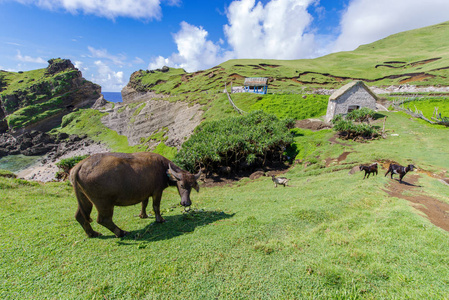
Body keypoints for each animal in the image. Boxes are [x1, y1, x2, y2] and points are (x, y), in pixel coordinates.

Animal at [69, 154, 200, 238]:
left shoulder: (145, 192)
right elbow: (156, 206)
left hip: (84, 198)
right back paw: (121, 232)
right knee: (103, 219)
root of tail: (80, 165)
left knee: (79, 216)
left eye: (192, 186)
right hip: (104, 202)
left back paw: (93, 233)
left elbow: (144, 203)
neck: (163, 168)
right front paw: (160, 219)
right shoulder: (157, 191)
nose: (186, 203)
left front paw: (143, 215)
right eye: (181, 185)